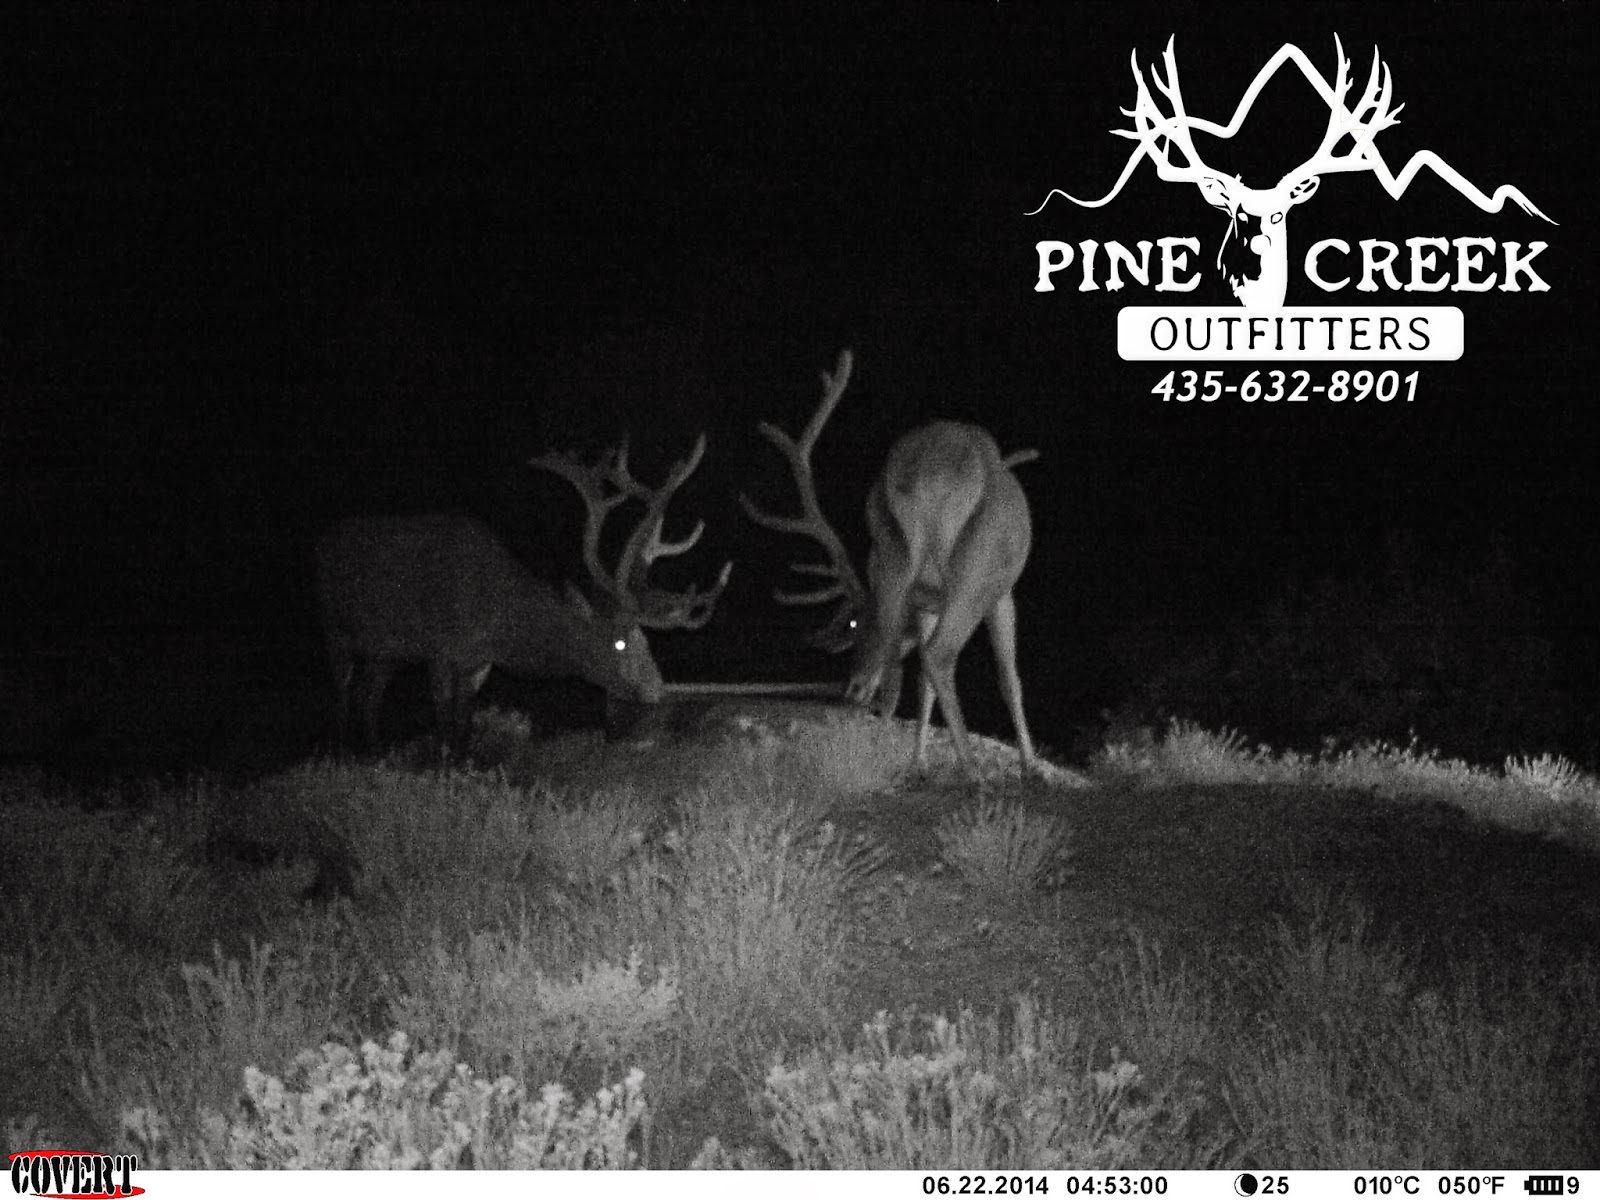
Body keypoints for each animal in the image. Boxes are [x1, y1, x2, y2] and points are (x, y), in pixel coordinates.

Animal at [315, 434, 730, 757]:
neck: (494, 620)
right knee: (342, 691)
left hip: (385, 651)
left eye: (646, 640)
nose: (657, 689)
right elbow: (445, 725)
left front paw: (462, 769)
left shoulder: (478, 663)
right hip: (335, 626)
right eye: (620, 644)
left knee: (367, 698)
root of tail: (321, 545)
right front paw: (441, 770)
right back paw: (342, 754)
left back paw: (373, 756)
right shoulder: (440, 650)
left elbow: (463, 726)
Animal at [742, 349, 1038, 779]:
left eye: (854, 624)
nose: (852, 686)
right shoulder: (1003, 592)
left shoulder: (925, 600)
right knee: (939, 654)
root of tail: (931, 474)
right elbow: (1009, 676)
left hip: (891, 556)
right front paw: (1031, 765)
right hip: (978, 570)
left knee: (907, 669)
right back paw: (971, 771)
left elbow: (920, 684)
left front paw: (918, 759)